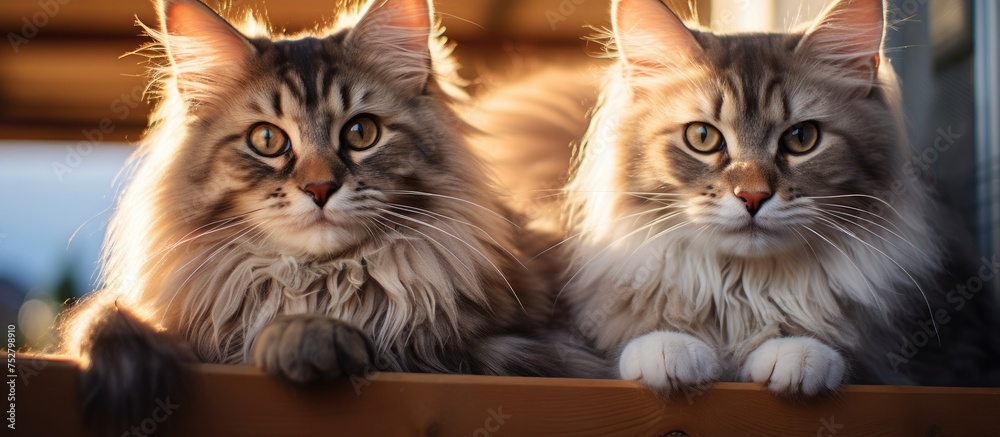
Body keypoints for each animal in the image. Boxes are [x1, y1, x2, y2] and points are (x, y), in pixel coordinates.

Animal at [60, 0, 580, 428]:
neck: (317, 280)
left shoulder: (514, 350)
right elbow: (100, 314)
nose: (320, 188)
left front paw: (298, 338)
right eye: (267, 140)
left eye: (361, 133)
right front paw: (129, 371)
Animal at [548, 0, 984, 396]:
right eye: (702, 137)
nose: (753, 196)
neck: (744, 289)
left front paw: (797, 353)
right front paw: (669, 348)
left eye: (801, 138)